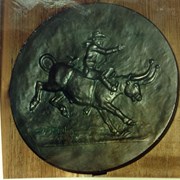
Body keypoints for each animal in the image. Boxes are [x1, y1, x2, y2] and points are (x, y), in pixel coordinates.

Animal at [29, 54, 160, 134]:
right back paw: (33, 103)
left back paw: (64, 111)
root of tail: (55, 64)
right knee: (39, 84)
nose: (139, 97)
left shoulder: (99, 107)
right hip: (55, 85)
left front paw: (116, 132)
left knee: (52, 100)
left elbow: (106, 119)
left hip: (62, 92)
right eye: (135, 85)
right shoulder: (104, 104)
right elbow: (116, 110)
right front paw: (128, 121)